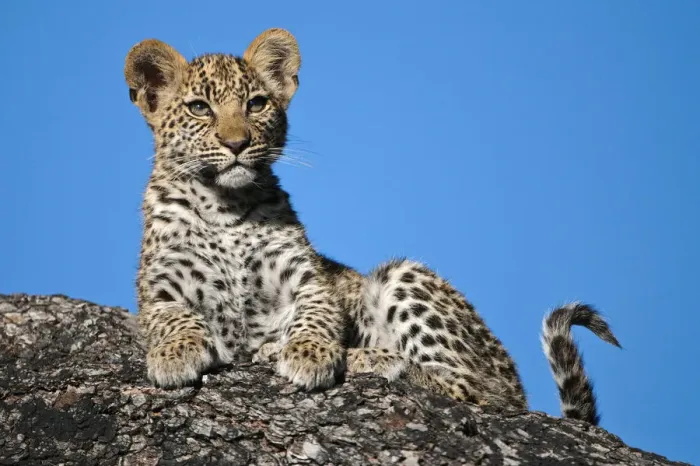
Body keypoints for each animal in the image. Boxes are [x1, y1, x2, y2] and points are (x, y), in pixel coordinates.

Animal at [125, 28, 621, 425]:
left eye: (257, 104)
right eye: (199, 108)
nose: (237, 143)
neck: (225, 208)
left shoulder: (308, 282)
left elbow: (315, 315)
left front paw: (307, 354)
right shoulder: (159, 291)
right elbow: (172, 317)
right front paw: (175, 355)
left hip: (406, 277)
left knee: (477, 391)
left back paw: (363, 357)